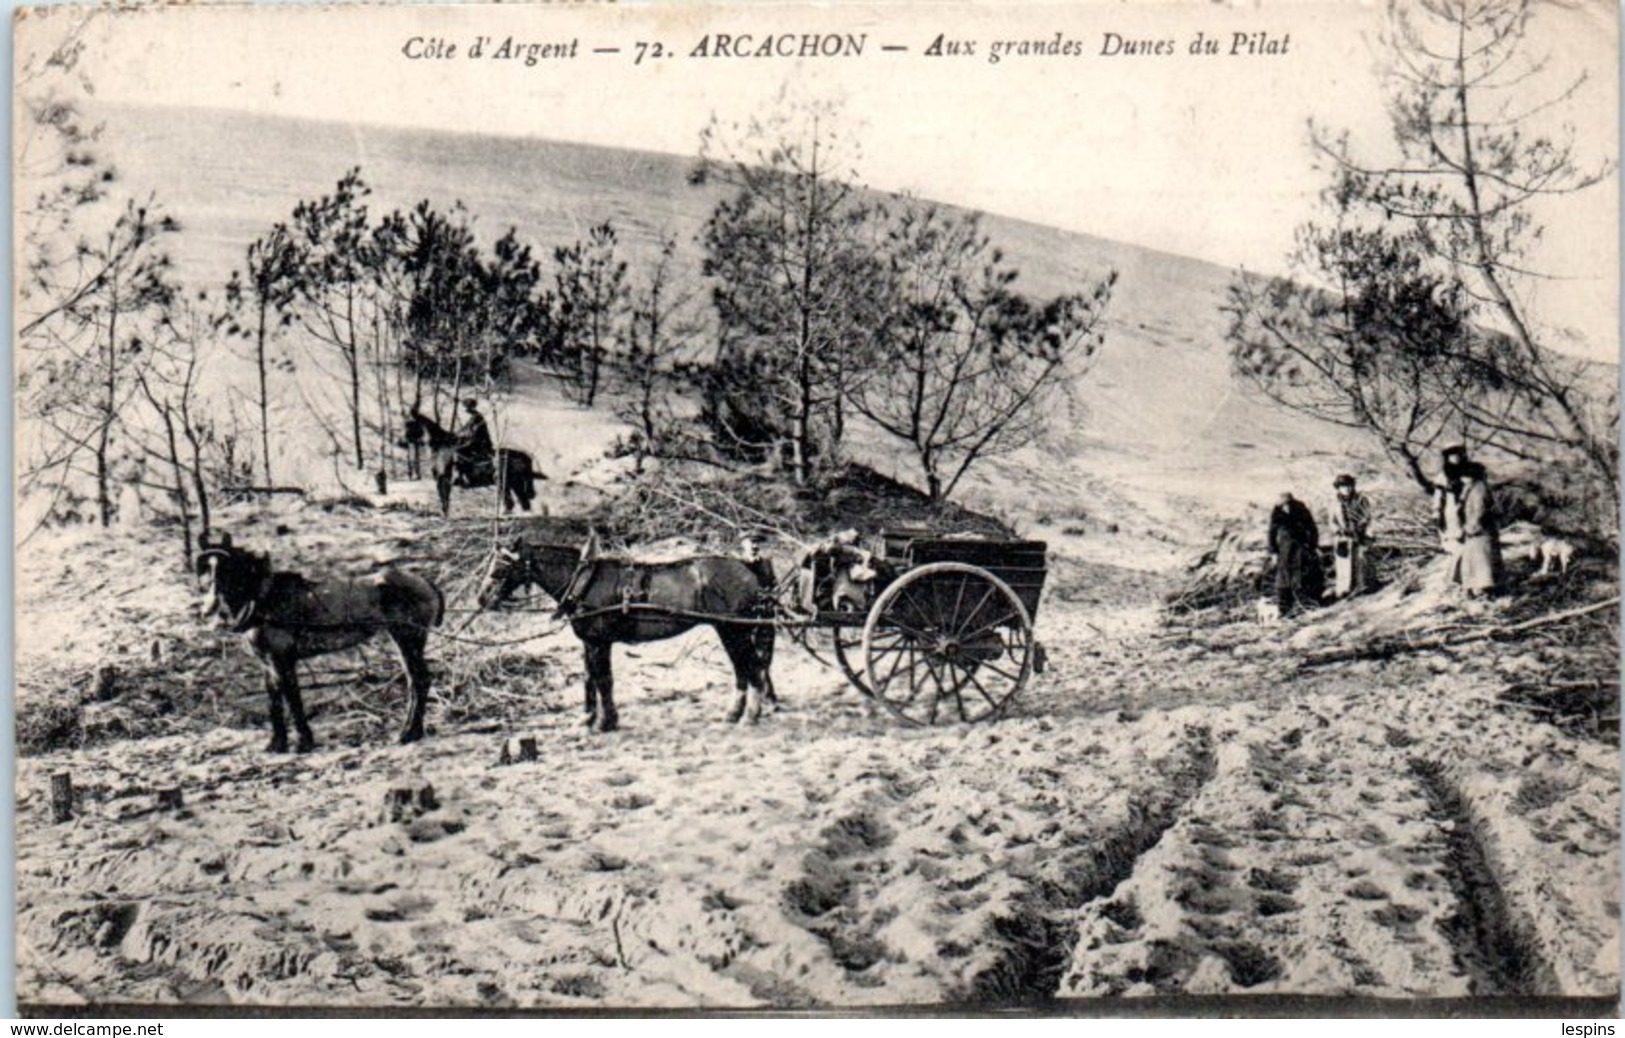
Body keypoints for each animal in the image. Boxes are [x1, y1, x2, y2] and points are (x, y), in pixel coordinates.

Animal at [195, 532, 445, 750]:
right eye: (204, 568)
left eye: (227, 569)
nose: (208, 610)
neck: (265, 599)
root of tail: (426, 582)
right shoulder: (267, 662)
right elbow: (274, 701)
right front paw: (276, 744)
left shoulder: (282, 659)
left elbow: (293, 698)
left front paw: (303, 742)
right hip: (404, 639)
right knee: (416, 681)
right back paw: (412, 731)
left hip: (408, 638)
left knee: (419, 680)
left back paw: (408, 733)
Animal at [401, 409, 542, 516]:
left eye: (409, 423)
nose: (402, 442)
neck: (441, 447)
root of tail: (524, 456)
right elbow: (444, 498)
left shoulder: (443, 480)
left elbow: (444, 498)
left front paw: (445, 514)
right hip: (513, 484)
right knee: (523, 503)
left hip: (506, 482)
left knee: (515, 502)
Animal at [474, 539, 776, 734]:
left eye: (502, 566)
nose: (482, 597)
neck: (585, 581)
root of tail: (747, 565)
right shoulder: (590, 642)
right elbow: (590, 678)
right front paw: (589, 719)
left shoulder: (599, 642)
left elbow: (603, 680)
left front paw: (605, 723)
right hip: (728, 630)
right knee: (743, 669)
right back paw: (734, 713)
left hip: (734, 629)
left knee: (753, 669)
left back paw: (749, 716)